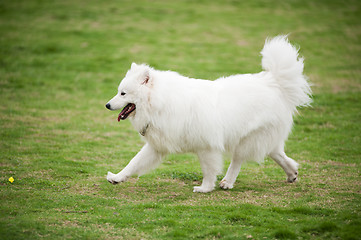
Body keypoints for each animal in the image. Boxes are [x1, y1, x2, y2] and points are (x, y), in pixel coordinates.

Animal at [105, 36, 310, 193]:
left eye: (123, 93)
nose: (107, 105)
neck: (161, 103)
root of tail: (273, 82)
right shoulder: (156, 147)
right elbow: (134, 162)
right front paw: (117, 177)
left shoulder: (206, 146)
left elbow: (208, 170)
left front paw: (205, 188)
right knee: (277, 153)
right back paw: (292, 173)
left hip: (247, 138)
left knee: (238, 160)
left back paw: (228, 181)